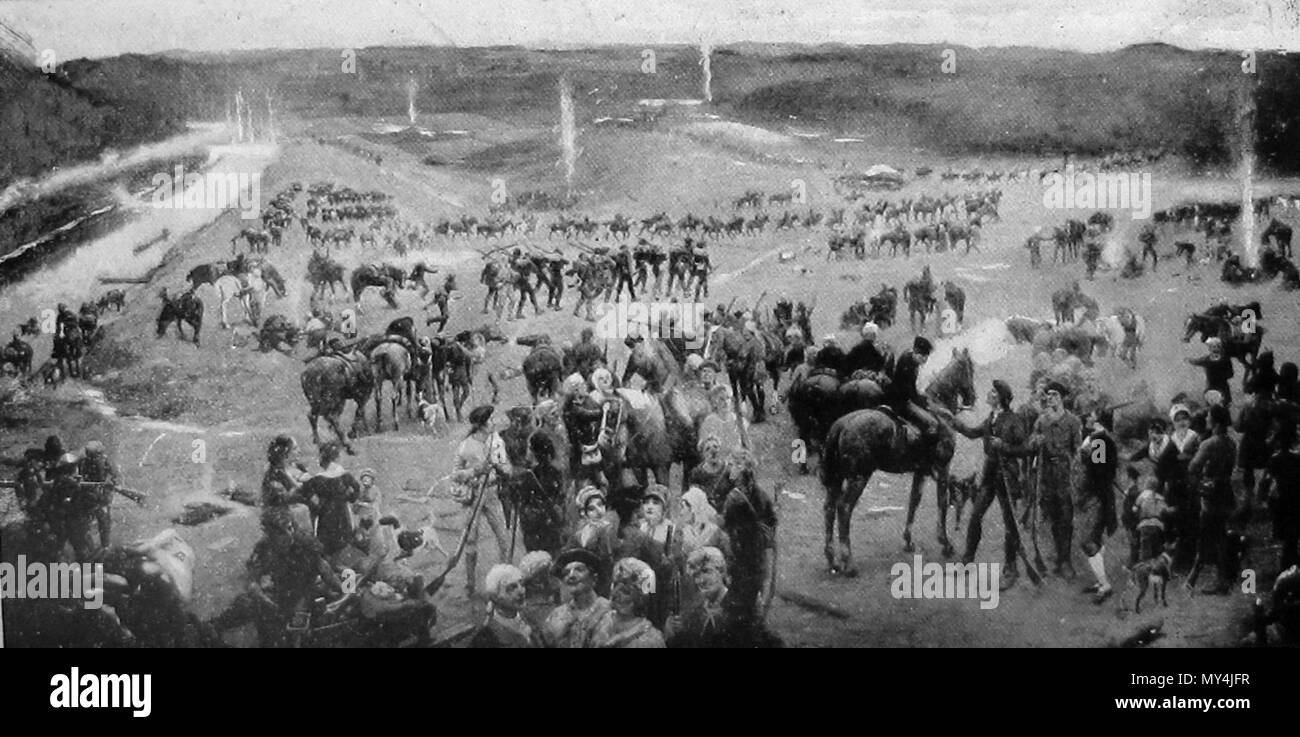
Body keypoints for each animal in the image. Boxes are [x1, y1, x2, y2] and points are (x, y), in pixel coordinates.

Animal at [816, 348, 972, 574]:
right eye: (970, 369)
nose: (972, 398)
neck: (939, 410)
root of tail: (841, 425)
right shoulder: (942, 467)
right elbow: (942, 503)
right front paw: (946, 543)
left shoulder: (921, 471)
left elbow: (914, 501)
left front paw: (908, 540)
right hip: (859, 478)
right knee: (844, 509)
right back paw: (848, 561)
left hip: (836, 479)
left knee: (829, 509)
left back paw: (832, 559)